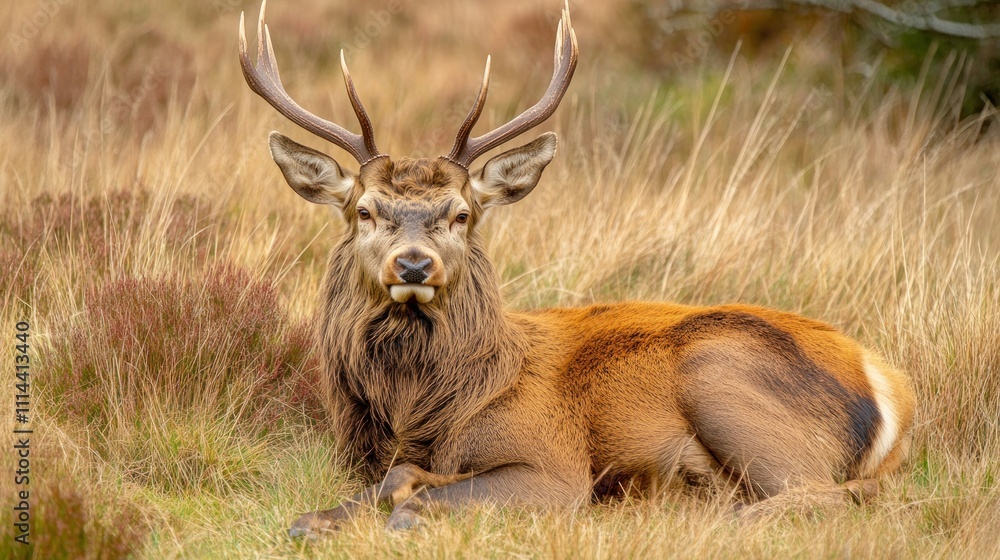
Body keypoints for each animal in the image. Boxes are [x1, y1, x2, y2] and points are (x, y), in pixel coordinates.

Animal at [238, 0, 916, 536]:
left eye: (461, 214)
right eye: (365, 211)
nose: (412, 264)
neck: (428, 408)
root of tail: (888, 386)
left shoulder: (553, 463)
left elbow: (414, 488)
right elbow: (371, 488)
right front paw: (318, 521)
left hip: (722, 379)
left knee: (831, 493)